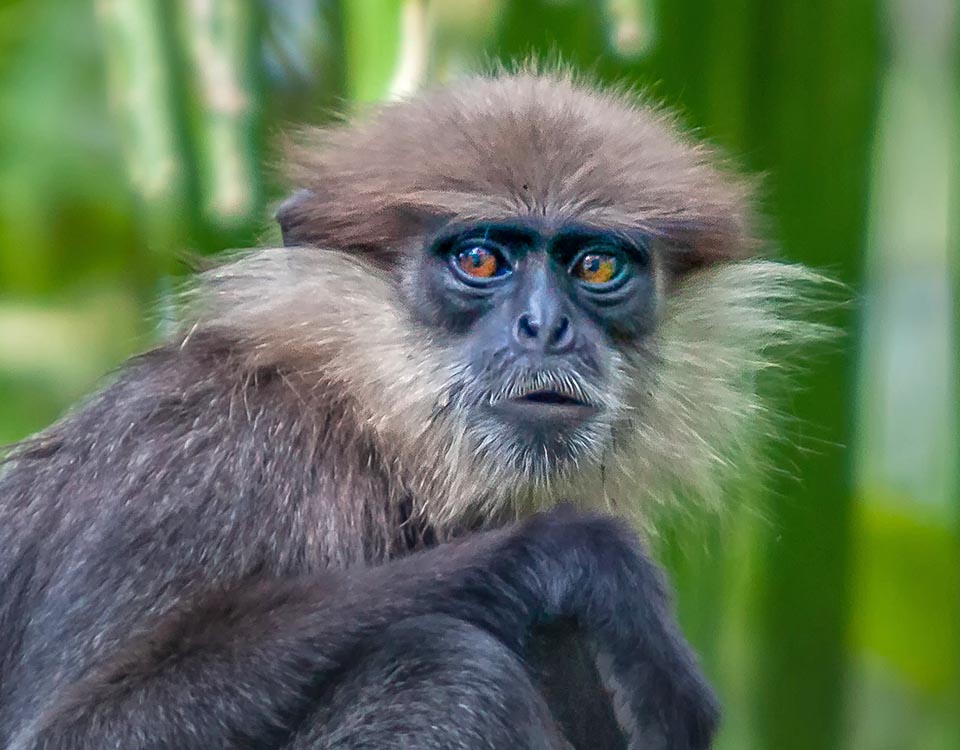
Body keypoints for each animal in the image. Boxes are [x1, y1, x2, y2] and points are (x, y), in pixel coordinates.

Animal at [1, 72, 824, 750]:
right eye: (480, 259)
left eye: (596, 267)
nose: (545, 327)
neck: (367, 434)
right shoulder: (201, 457)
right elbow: (79, 734)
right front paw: (576, 554)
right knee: (448, 669)